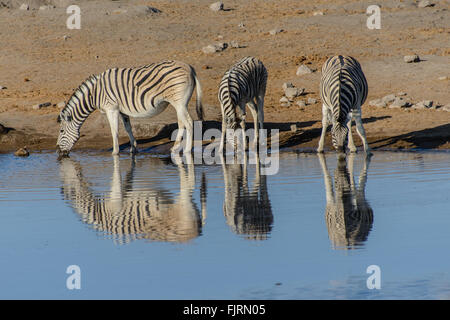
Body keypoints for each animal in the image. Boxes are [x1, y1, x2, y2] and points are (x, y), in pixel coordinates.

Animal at [56, 59, 204, 158]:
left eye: (62, 131)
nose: (58, 152)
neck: (95, 94)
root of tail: (189, 67)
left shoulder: (111, 109)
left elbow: (114, 130)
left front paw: (115, 152)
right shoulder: (122, 111)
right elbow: (128, 128)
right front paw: (134, 148)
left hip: (179, 102)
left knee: (189, 123)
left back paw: (187, 151)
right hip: (179, 104)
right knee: (182, 123)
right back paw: (175, 147)